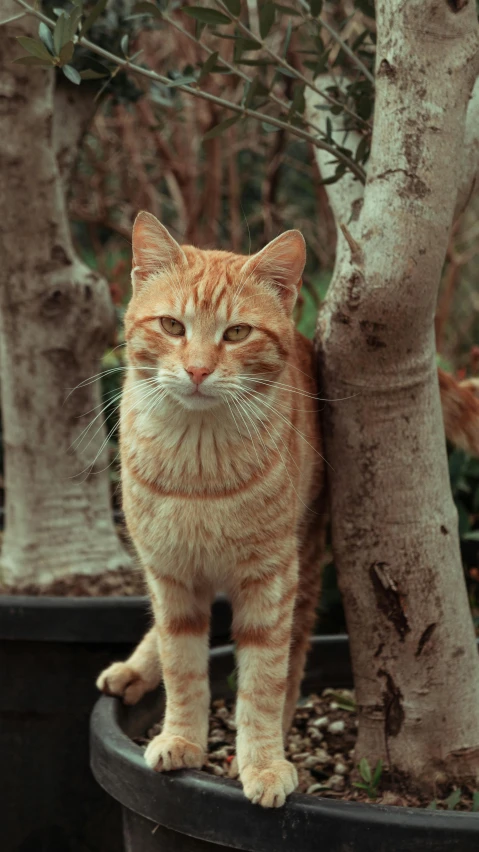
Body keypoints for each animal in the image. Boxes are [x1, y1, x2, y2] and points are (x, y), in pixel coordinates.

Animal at [97, 211, 479, 804]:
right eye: (173, 326)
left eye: (236, 333)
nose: (198, 371)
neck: (199, 466)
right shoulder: (170, 574)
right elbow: (182, 665)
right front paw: (182, 738)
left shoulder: (271, 580)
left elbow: (262, 680)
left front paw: (262, 761)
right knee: (162, 630)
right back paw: (135, 669)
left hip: (305, 562)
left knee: (293, 659)